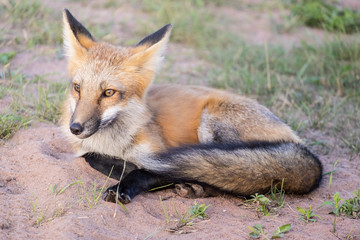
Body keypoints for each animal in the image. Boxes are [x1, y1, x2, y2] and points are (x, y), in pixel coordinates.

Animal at [60, 9, 322, 203]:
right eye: (77, 88)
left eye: (109, 93)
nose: (76, 128)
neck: (112, 145)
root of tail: (298, 143)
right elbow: (90, 156)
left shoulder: (158, 154)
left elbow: (142, 171)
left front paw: (122, 186)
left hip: (212, 123)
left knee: (239, 181)